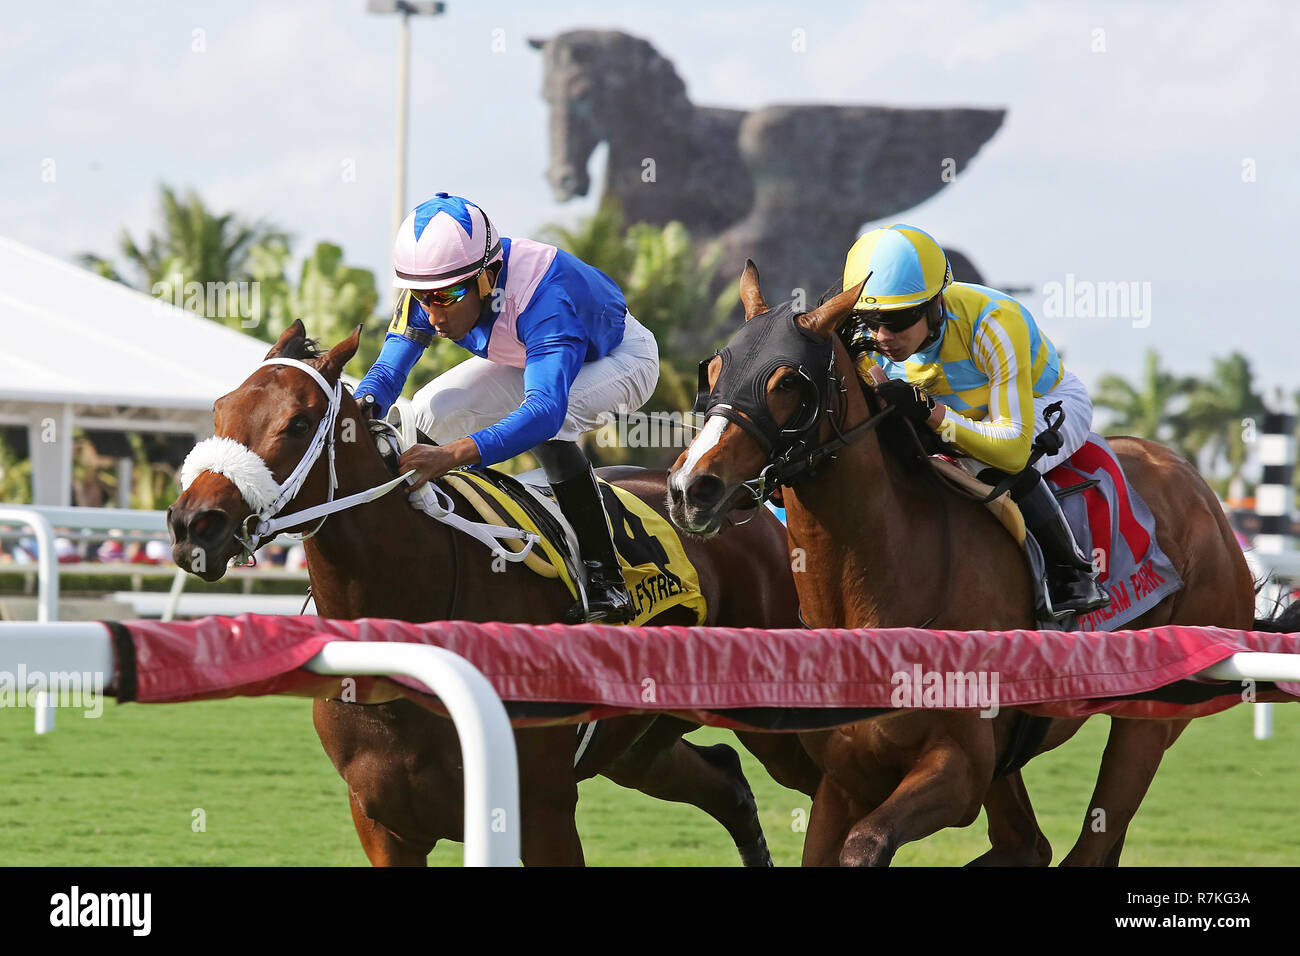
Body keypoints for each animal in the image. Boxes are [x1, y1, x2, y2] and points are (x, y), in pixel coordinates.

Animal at [167, 319, 816, 868]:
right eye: (221, 409)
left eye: (299, 423)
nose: (193, 524)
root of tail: (743, 504)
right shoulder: (384, 825)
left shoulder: (542, 812)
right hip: (639, 746)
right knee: (728, 782)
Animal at [665, 261, 1253, 868]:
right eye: (714, 369)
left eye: (787, 383)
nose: (690, 488)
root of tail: (1196, 487)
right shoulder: (844, 782)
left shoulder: (958, 770)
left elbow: (868, 844)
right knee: (1029, 845)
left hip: (1150, 719)